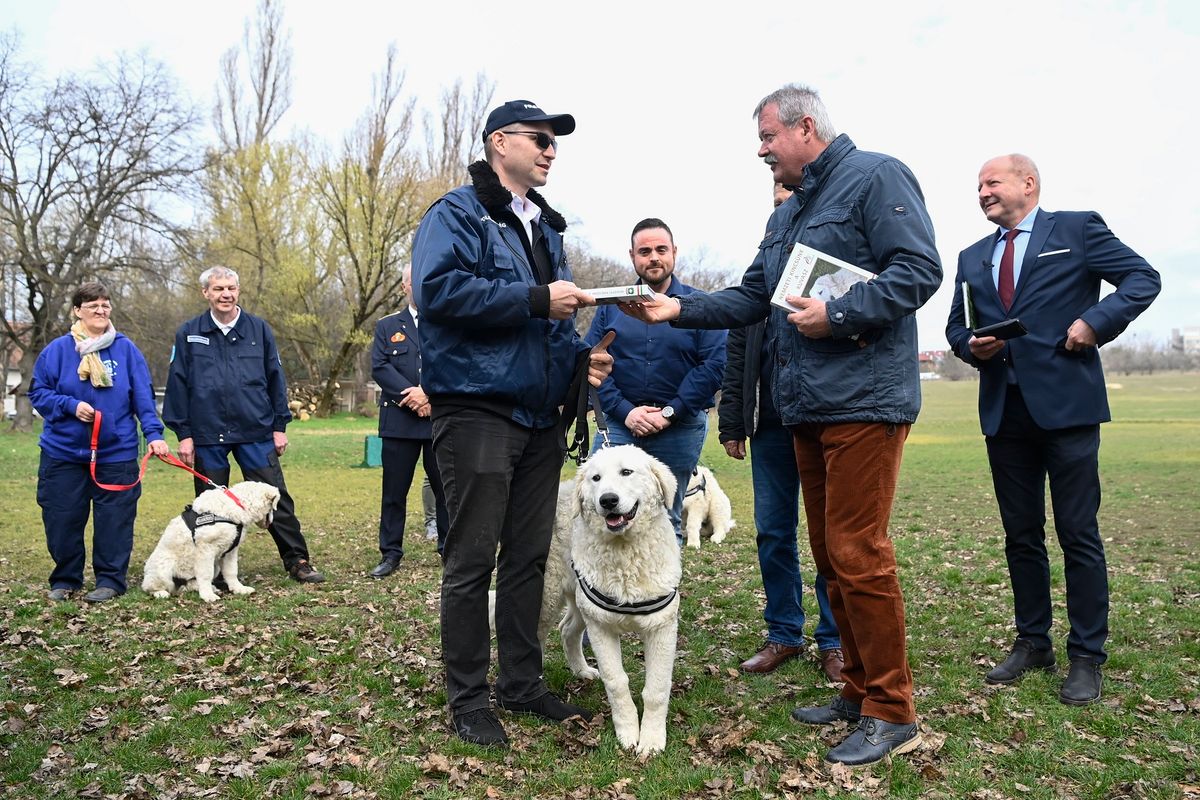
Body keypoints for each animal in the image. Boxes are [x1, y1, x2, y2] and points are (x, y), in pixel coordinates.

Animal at [141, 482, 279, 599]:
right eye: (273, 507)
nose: (272, 522)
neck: (236, 504)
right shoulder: (205, 550)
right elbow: (205, 574)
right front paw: (208, 596)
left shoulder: (230, 550)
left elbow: (231, 571)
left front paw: (238, 589)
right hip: (164, 567)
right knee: (149, 587)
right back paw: (160, 593)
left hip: (214, 565)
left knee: (190, 584)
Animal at [542, 448, 681, 762]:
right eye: (596, 478)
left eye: (626, 472)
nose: (608, 500)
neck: (625, 553)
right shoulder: (601, 626)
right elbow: (617, 682)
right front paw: (628, 732)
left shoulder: (662, 628)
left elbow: (657, 689)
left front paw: (652, 740)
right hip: (548, 595)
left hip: (580, 602)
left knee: (567, 629)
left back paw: (581, 671)